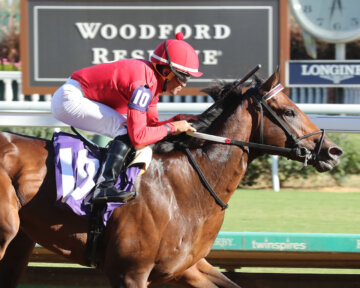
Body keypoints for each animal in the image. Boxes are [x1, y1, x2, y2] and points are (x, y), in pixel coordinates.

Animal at [0, 68, 344, 286]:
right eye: (288, 111)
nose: (333, 150)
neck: (187, 187)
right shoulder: (129, 272)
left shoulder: (187, 267)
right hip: (8, 229)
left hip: (21, 241)